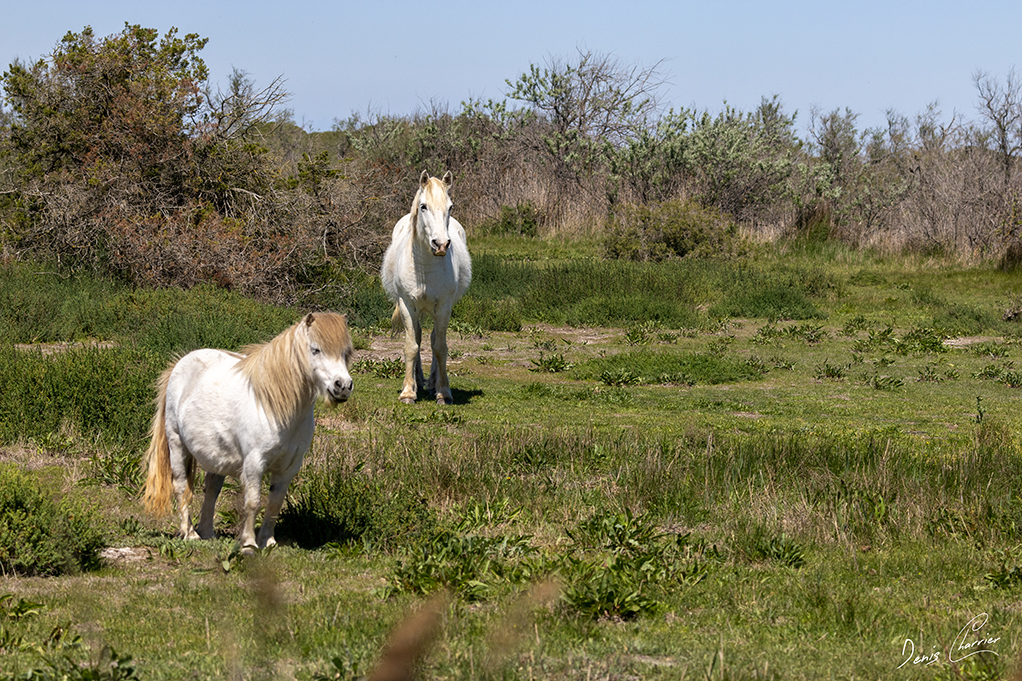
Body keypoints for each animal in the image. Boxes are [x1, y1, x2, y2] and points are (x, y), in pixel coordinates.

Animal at [143, 312, 354, 553]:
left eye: (346, 352)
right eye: (316, 349)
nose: (343, 386)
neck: (275, 407)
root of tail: (180, 363)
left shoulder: (288, 468)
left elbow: (274, 504)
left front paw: (268, 541)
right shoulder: (255, 463)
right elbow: (253, 502)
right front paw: (249, 544)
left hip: (216, 455)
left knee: (212, 489)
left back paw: (207, 533)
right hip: (177, 444)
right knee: (180, 486)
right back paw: (189, 534)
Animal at [381, 170, 472, 404]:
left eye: (450, 207)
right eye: (423, 206)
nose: (440, 244)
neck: (425, 267)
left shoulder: (444, 307)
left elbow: (440, 347)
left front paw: (443, 392)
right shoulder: (407, 305)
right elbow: (411, 345)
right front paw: (408, 392)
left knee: (432, 340)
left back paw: (431, 383)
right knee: (419, 337)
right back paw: (418, 380)